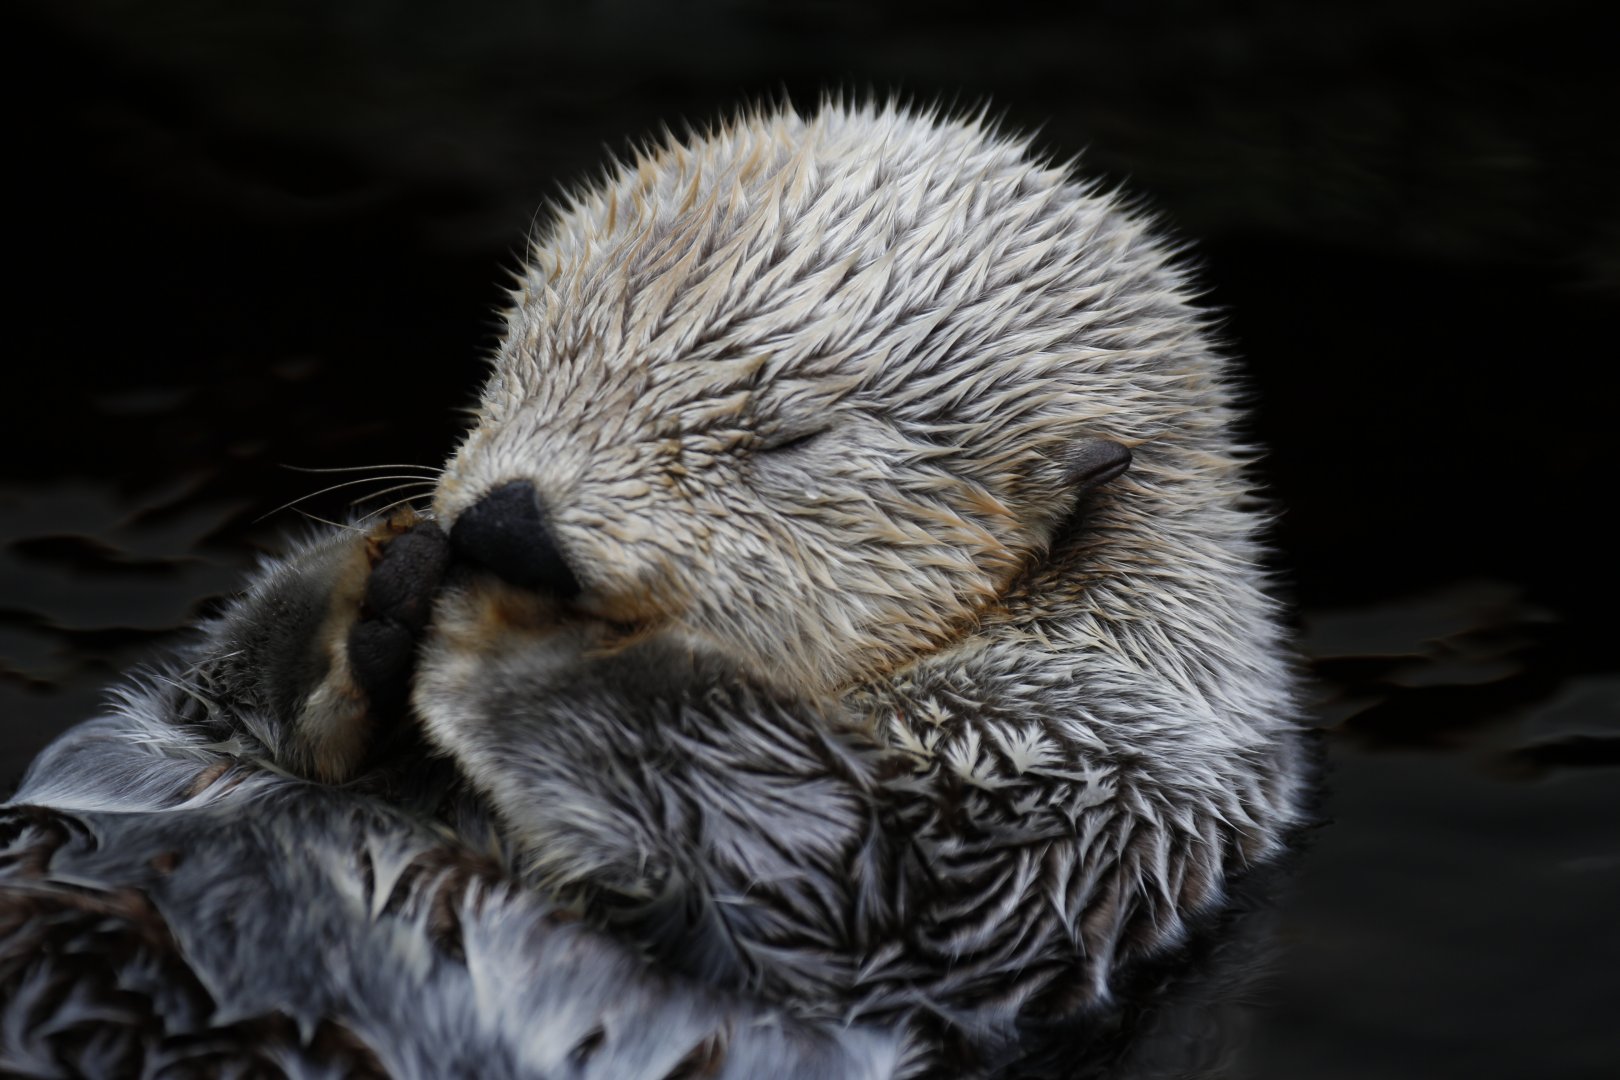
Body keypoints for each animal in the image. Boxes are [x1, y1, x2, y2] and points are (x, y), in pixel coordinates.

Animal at [1, 102, 1311, 1078]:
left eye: (794, 440)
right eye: (523, 346)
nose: (506, 521)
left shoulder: (1092, 770)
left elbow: (850, 858)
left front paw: (519, 638)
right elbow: (209, 709)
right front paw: (374, 582)